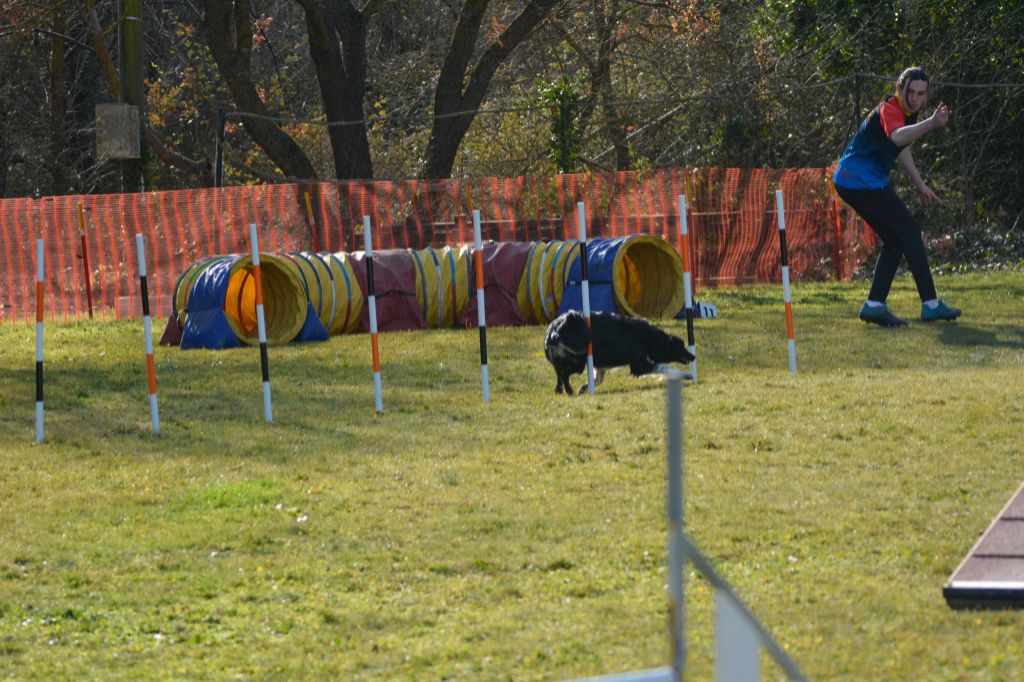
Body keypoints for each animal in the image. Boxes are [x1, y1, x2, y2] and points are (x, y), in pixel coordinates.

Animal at [544, 307, 696, 393]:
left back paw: (560, 389)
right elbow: (664, 368)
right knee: (563, 373)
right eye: (681, 347)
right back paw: (568, 390)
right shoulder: (639, 365)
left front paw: (584, 388)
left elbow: (598, 380)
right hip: (578, 361)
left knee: (559, 371)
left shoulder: (601, 365)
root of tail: (554, 330)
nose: (693, 356)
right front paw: (686, 375)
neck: (649, 337)